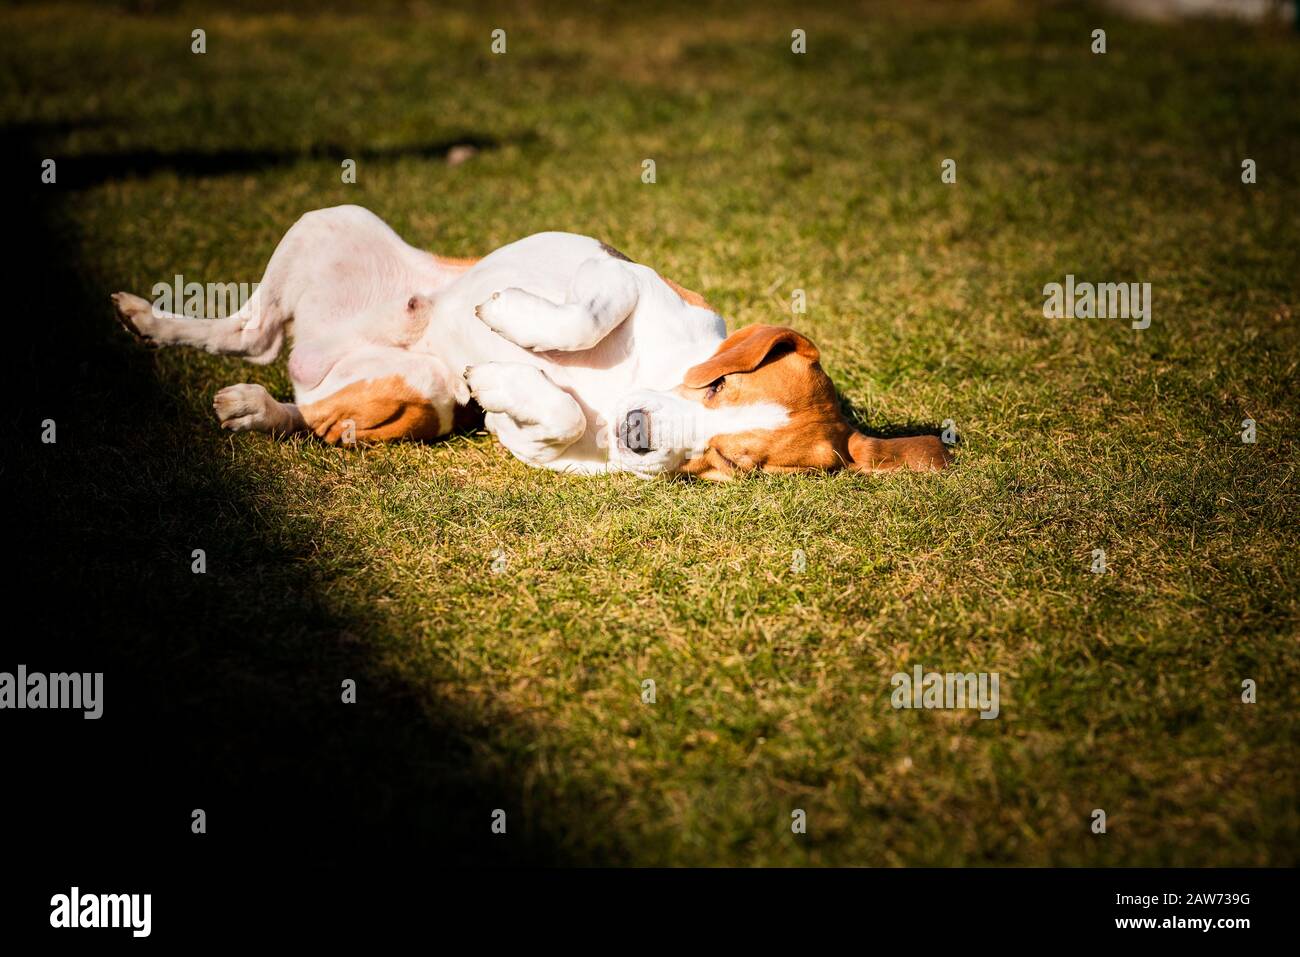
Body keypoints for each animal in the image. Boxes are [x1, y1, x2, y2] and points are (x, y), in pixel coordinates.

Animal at [111, 206, 951, 481]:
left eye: (733, 462)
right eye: (715, 386)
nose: (637, 432)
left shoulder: (554, 451)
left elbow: (558, 417)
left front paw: (502, 384)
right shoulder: (621, 273)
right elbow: (587, 313)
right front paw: (508, 318)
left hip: (414, 391)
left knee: (295, 390)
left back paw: (255, 405)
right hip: (335, 218)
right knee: (248, 329)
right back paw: (152, 318)